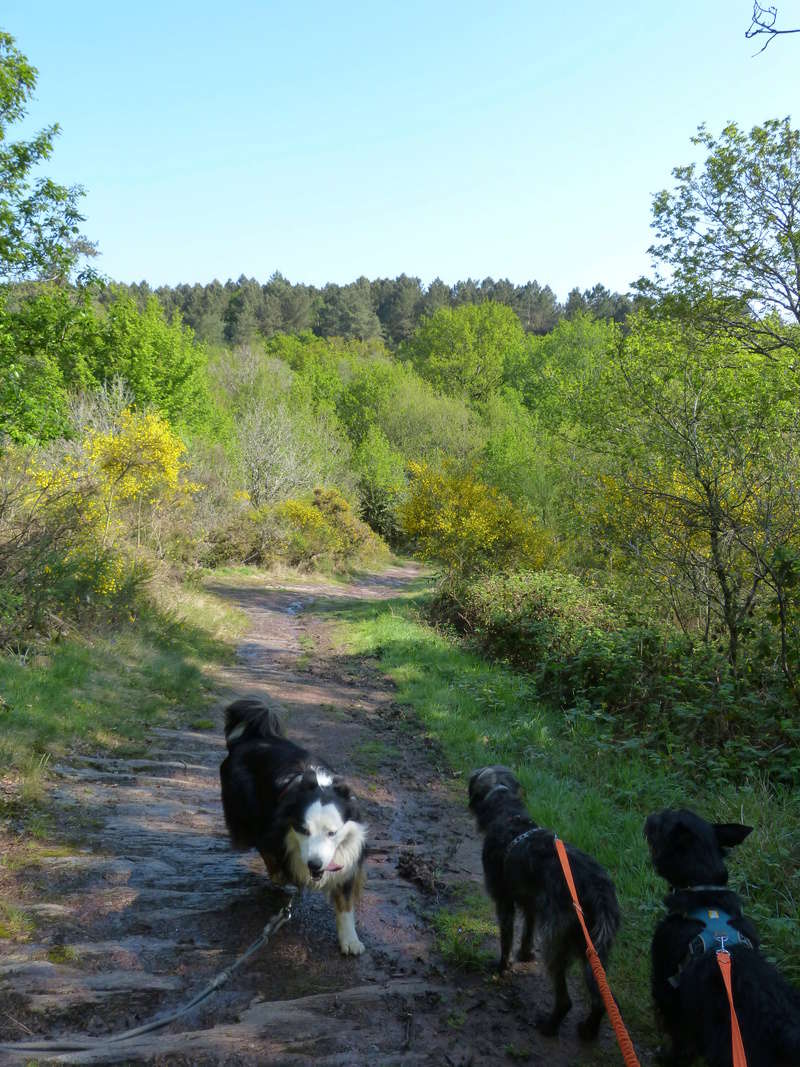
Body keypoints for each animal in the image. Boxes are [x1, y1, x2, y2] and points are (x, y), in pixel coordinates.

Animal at [220, 695, 369, 956]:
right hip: (248, 812)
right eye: (302, 830)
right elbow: (272, 853)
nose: (315, 864)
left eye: (332, 833)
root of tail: (250, 738)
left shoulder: (349, 854)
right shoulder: (273, 829)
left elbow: (346, 901)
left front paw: (350, 940)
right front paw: (284, 877)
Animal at [467, 763, 622, 1037]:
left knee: (566, 1000)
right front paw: (526, 954)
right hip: (593, 950)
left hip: (556, 944)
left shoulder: (504, 900)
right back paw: (588, 1031)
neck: (509, 816)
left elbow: (506, 938)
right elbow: (527, 932)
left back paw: (549, 1026)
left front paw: (502, 967)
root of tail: (598, 891)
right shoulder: (531, 904)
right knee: (600, 999)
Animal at [644, 806, 800, 1067]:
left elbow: (679, 1039)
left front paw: (667, 1058)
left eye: (663, 818)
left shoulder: (667, 985)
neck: (705, 891)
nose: (649, 816)